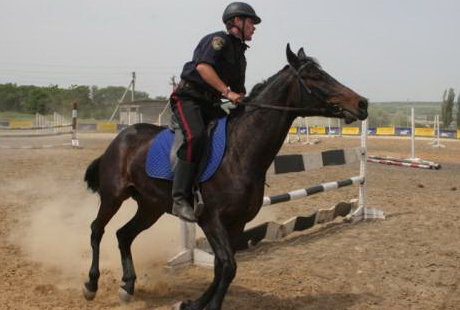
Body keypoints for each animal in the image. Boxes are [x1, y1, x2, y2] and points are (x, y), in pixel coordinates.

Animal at [82, 45, 368, 310]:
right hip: (113, 197)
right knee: (97, 229)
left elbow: (222, 266)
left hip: (150, 207)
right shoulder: (211, 219)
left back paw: (127, 286)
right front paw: (205, 304)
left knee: (124, 235)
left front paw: (193, 303)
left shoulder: (236, 222)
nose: (362, 103)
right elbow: (229, 266)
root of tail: (121, 137)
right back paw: (91, 285)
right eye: (314, 76)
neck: (238, 151)